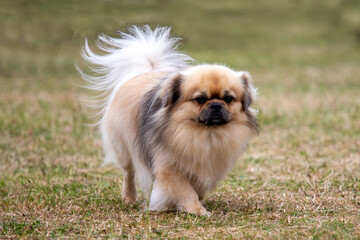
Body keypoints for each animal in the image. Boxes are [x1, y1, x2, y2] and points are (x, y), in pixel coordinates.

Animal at [79, 25, 258, 216]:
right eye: (200, 99)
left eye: (229, 99)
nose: (216, 105)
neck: (204, 134)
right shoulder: (168, 166)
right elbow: (186, 191)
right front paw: (197, 210)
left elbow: (198, 187)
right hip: (124, 151)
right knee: (129, 174)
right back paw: (129, 197)